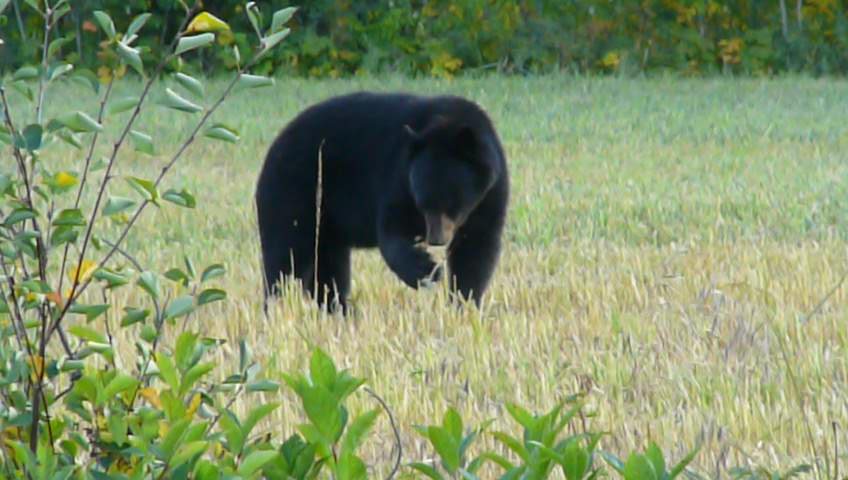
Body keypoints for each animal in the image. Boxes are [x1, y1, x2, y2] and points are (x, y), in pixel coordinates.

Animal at [255, 91, 509, 313]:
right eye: (423, 203)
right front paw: (426, 271)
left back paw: (341, 311)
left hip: (325, 220)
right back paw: (275, 310)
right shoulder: (400, 175)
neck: (448, 120)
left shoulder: (491, 193)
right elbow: (392, 230)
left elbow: (476, 247)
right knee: (285, 255)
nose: (436, 239)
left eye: (452, 203)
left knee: (328, 267)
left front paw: (464, 304)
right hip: (294, 194)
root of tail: (274, 148)